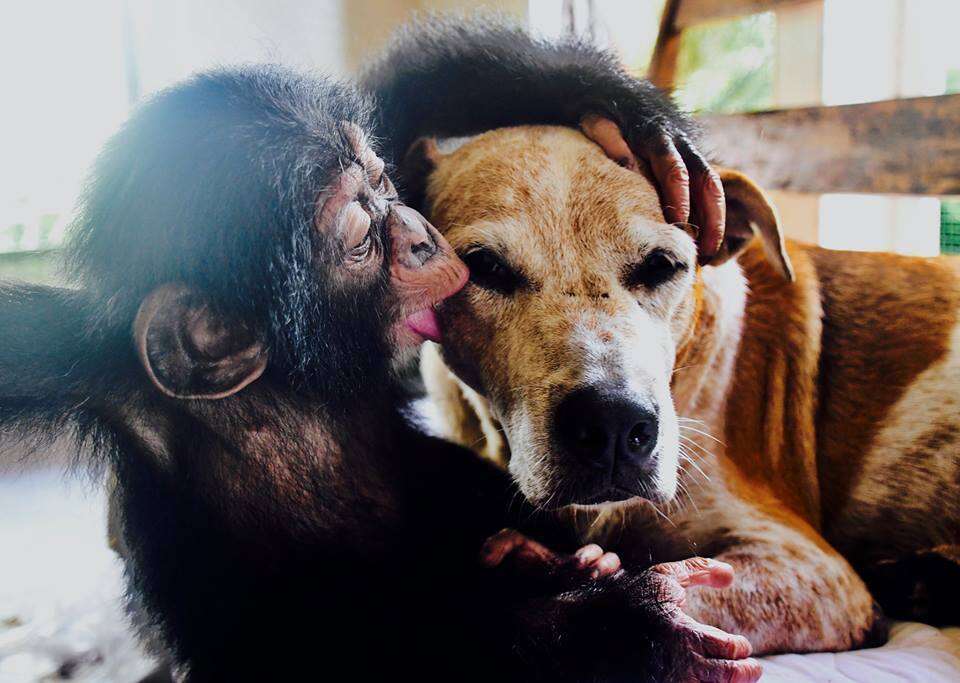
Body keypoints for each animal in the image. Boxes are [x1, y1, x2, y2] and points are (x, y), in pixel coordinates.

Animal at [0, 21, 756, 683]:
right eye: (363, 234)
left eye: (383, 184)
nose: (420, 234)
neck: (287, 384)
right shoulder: (104, 380)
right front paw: (628, 625)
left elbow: (404, 93)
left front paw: (631, 114)